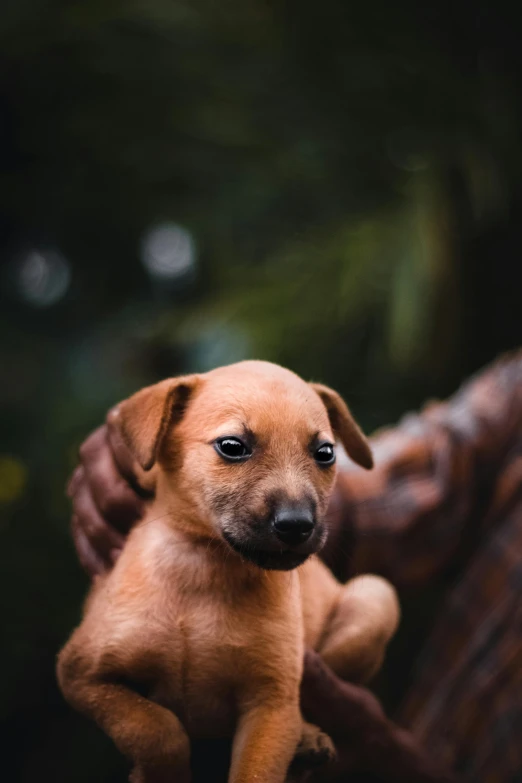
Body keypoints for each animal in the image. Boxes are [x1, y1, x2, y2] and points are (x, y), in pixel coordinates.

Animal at [57, 362, 396, 783]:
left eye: (325, 453)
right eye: (233, 446)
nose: (297, 525)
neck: (204, 569)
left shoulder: (269, 704)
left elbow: (255, 769)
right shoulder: (82, 674)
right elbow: (154, 728)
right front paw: (156, 772)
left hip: (374, 598)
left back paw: (307, 738)